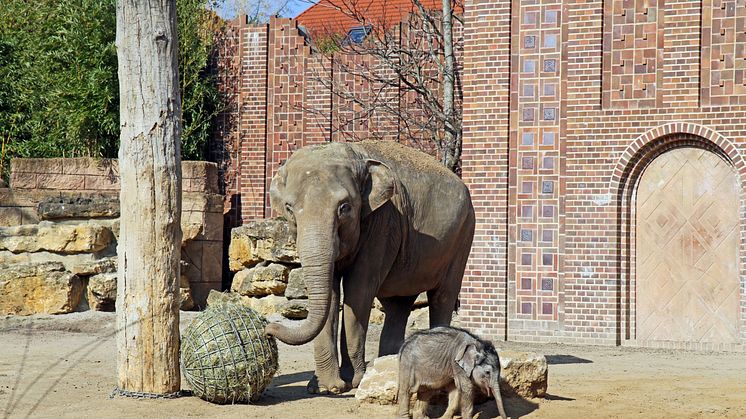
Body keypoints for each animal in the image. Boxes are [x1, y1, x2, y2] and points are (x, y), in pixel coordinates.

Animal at [264, 140, 474, 394]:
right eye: (289, 208)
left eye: (344, 207)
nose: (267, 329)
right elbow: (331, 295)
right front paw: (324, 387)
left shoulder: (382, 222)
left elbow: (358, 292)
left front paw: (352, 381)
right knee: (398, 304)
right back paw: (389, 365)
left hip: (462, 238)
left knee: (442, 297)